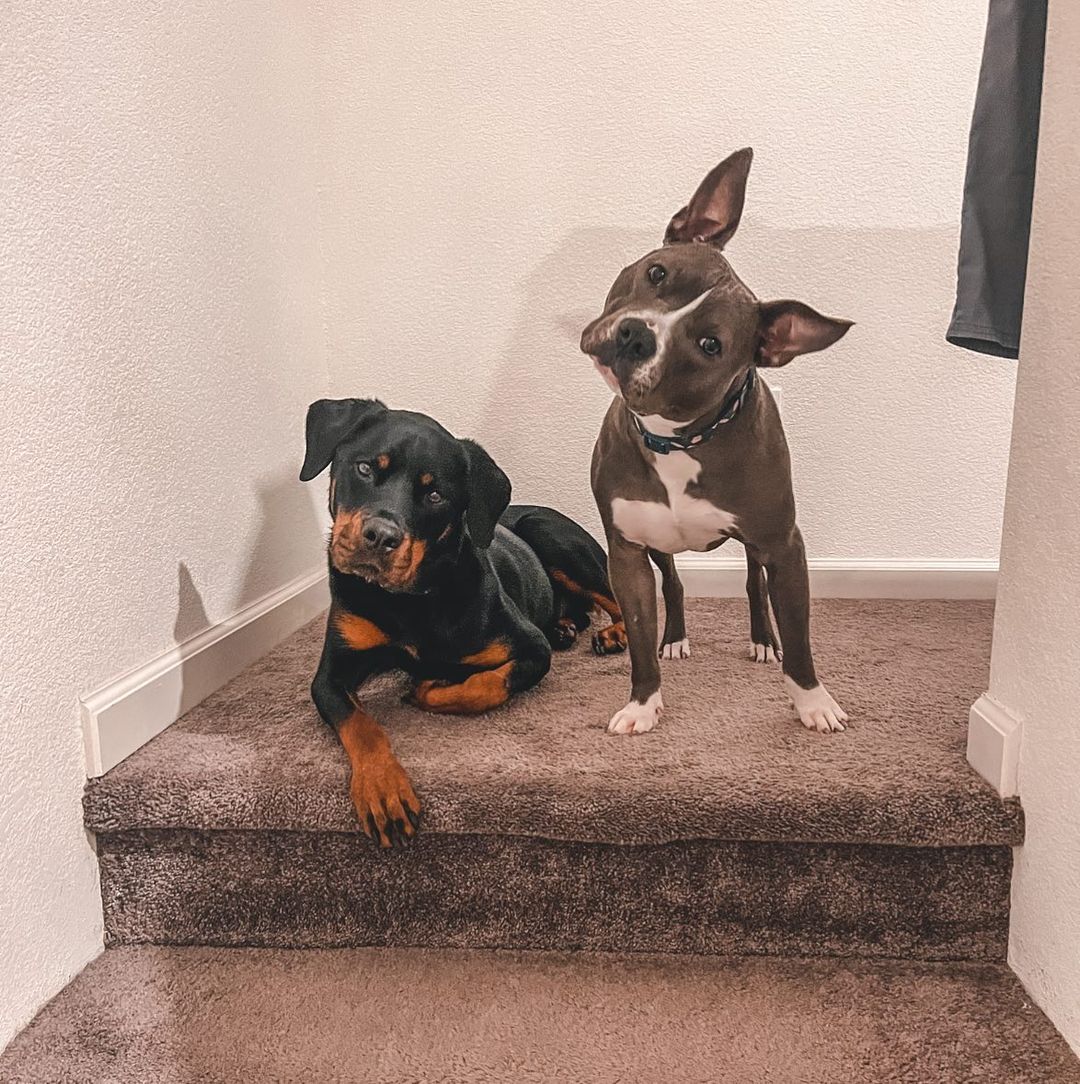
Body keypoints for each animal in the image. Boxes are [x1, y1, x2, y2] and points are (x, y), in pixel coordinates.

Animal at [299, 398, 628, 845]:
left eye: (435, 495)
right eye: (365, 468)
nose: (380, 536)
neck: (409, 600)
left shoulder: (529, 647)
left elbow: (488, 686)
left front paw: (428, 688)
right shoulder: (333, 671)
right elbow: (360, 724)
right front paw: (382, 790)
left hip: (551, 533)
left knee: (617, 598)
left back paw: (613, 634)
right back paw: (565, 628)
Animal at [581, 146, 850, 737]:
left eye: (710, 344)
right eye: (657, 271)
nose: (635, 334)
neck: (677, 440)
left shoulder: (784, 546)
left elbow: (799, 637)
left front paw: (813, 702)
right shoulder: (626, 553)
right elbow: (638, 640)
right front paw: (643, 704)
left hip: (758, 544)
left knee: (753, 584)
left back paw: (762, 640)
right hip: (659, 549)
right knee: (675, 583)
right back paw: (676, 637)